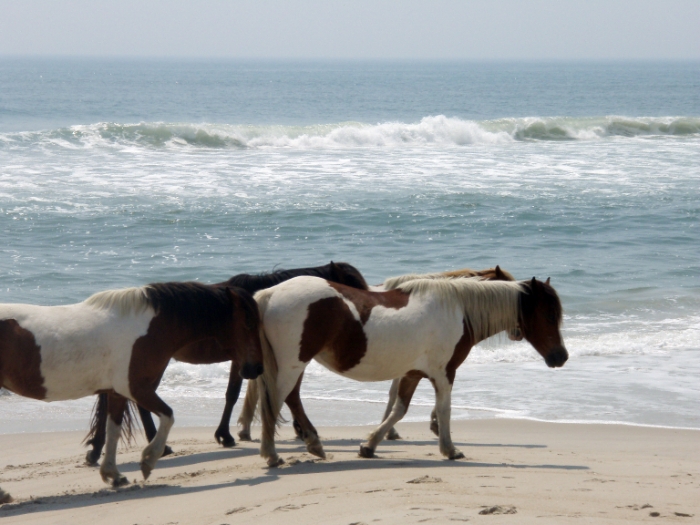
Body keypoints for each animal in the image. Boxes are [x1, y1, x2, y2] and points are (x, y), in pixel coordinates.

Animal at [0, 280, 262, 502]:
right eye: (249, 323)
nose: (255, 368)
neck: (149, 326)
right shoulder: (137, 389)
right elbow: (168, 416)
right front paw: (148, 459)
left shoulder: (118, 393)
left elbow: (113, 431)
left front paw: (112, 474)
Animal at [254, 274, 568, 466]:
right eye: (548, 314)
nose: (560, 357)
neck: (458, 310)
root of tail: (270, 293)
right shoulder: (444, 373)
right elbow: (443, 409)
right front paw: (449, 449)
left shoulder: (412, 373)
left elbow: (399, 409)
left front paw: (370, 445)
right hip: (292, 364)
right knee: (277, 400)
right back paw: (272, 454)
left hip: (295, 365)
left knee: (291, 398)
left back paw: (313, 444)